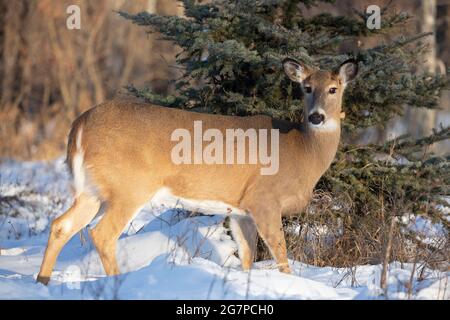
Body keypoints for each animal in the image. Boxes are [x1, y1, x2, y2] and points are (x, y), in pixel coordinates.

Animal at [37, 57, 356, 284]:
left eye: (333, 89)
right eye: (306, 88)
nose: (317, 117)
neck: (302, 152)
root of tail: (79, 126)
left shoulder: (240, 209)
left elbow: (248, 257)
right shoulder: (264, 198)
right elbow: (281, 255)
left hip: (93, 190)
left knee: (60, 225)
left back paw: (43, 281)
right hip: (129, 187)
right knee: (102, 234)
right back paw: (117, 283)